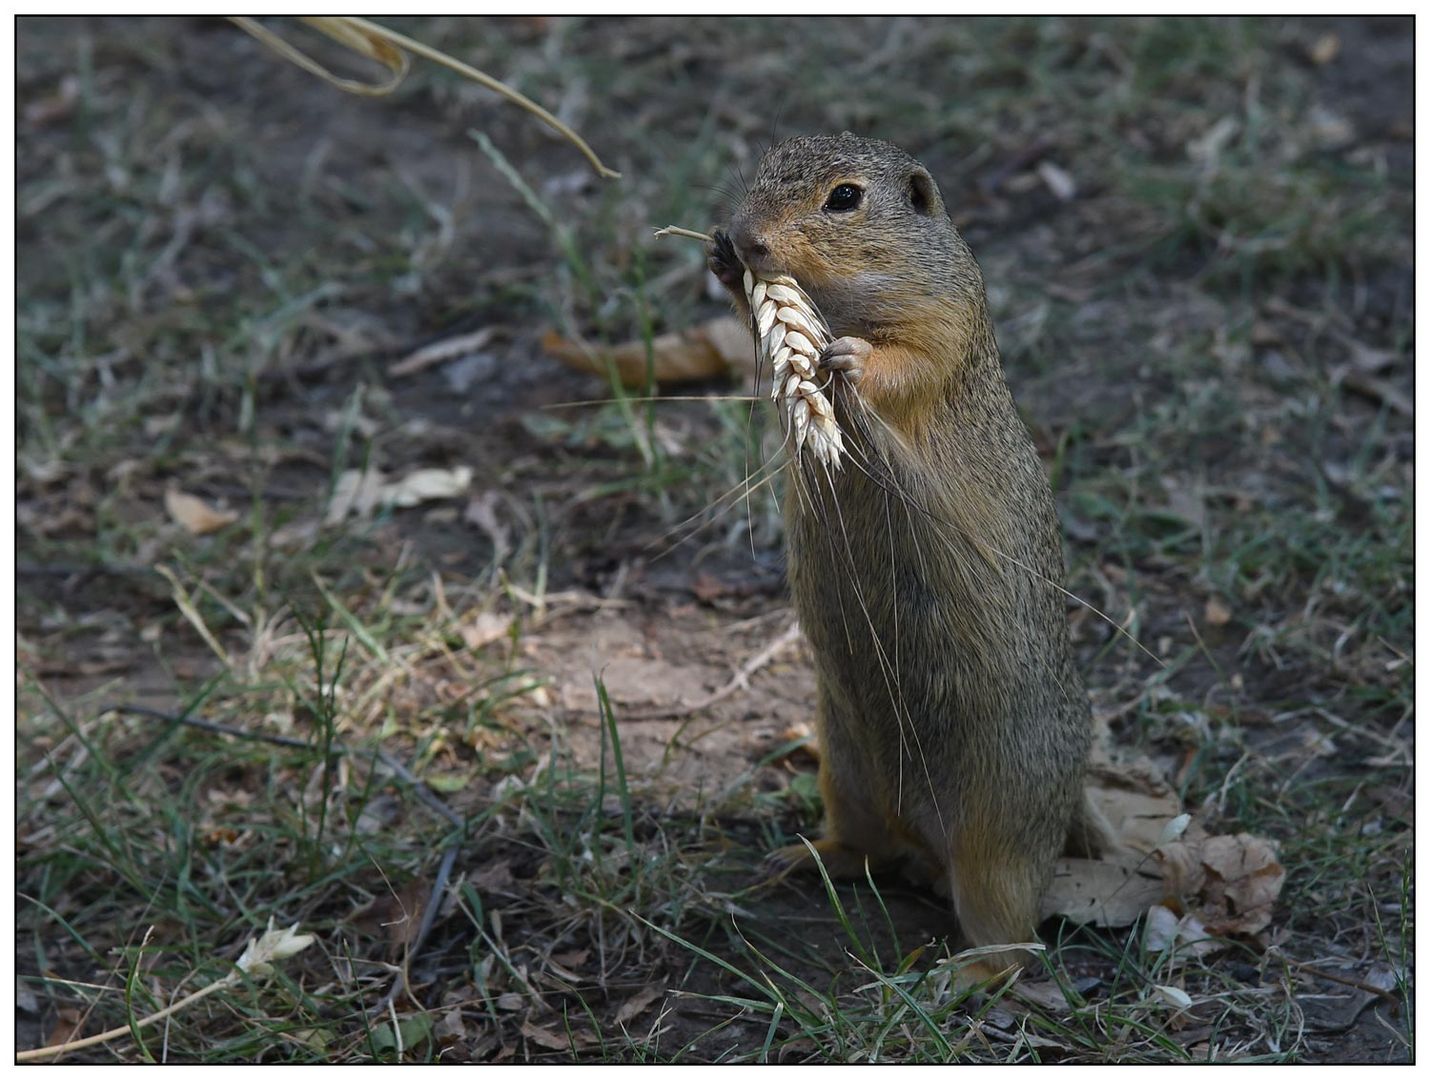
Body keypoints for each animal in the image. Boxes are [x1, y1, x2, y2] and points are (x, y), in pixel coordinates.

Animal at [706, 130, 1103, 978]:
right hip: (845, 771)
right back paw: (801, 858)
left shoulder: (944, 317)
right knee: (870, 852)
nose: (748, 236)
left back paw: (961, 975)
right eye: (769, 163)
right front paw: (723, 263)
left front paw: (850, 360)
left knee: (1011, 939)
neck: (842, 293)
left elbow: (907, 360)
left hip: (995, 837)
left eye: (845, 198)